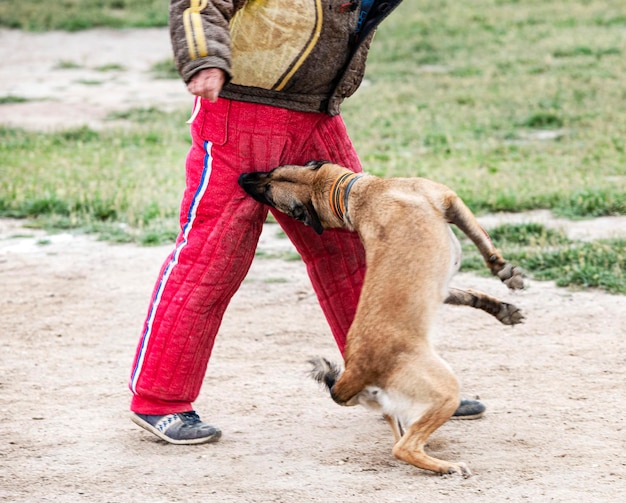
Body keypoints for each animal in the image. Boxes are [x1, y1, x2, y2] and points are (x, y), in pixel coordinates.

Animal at [236, 161, 524, 476]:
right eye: (269, 188)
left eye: (270, 179)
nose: (242, 177)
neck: (357, 195)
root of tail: (356, 372)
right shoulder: (449, 200)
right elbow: (484, 243)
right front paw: (505, 272)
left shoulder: (442, 288)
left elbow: (470, 294)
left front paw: (501, 309)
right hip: (445, 390)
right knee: (403, 449)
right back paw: (447, 467)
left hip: (398, 409)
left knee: (399, 441)